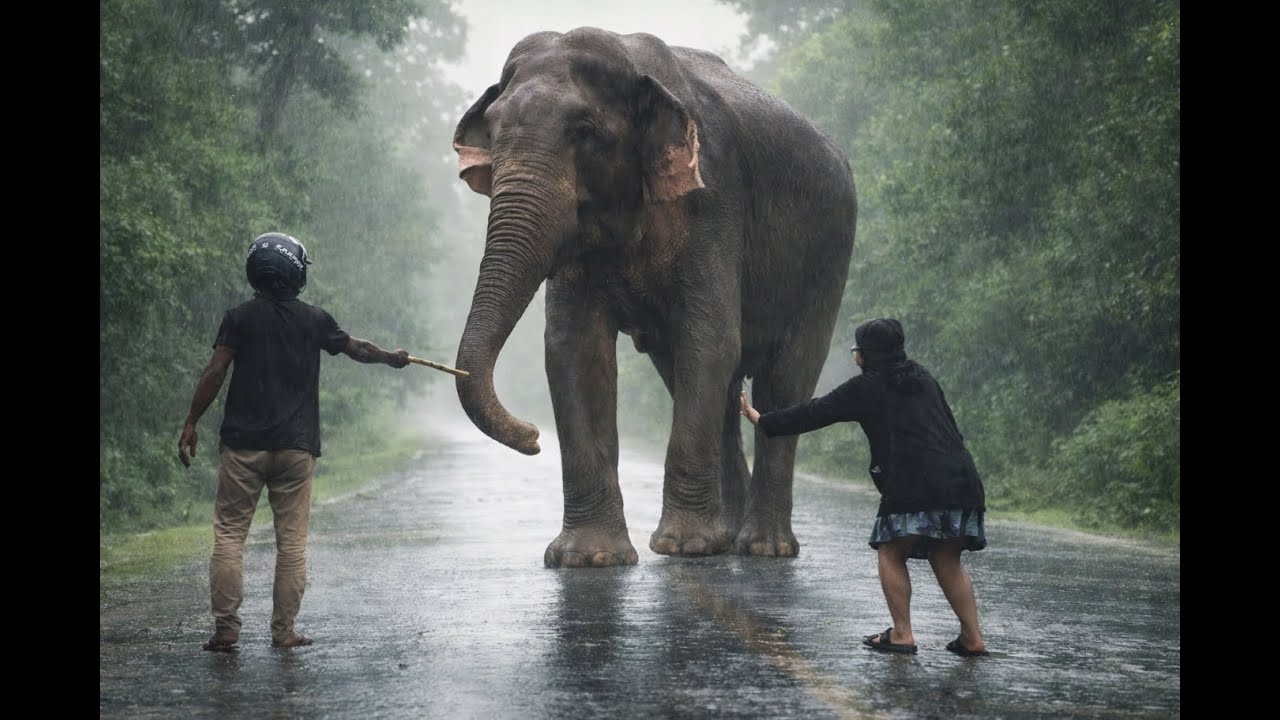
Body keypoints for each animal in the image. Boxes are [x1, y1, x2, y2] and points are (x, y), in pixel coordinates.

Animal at [451, 27, 856, 568]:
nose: (533, 437)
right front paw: (587, 559)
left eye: (584, 130)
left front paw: (683, 548)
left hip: (829, 256)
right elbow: (574, 351)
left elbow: (709, 340)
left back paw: (761, 548)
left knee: (785, 378)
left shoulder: (712, 198)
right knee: (711, 385)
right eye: (492, 132)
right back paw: (727, 540)